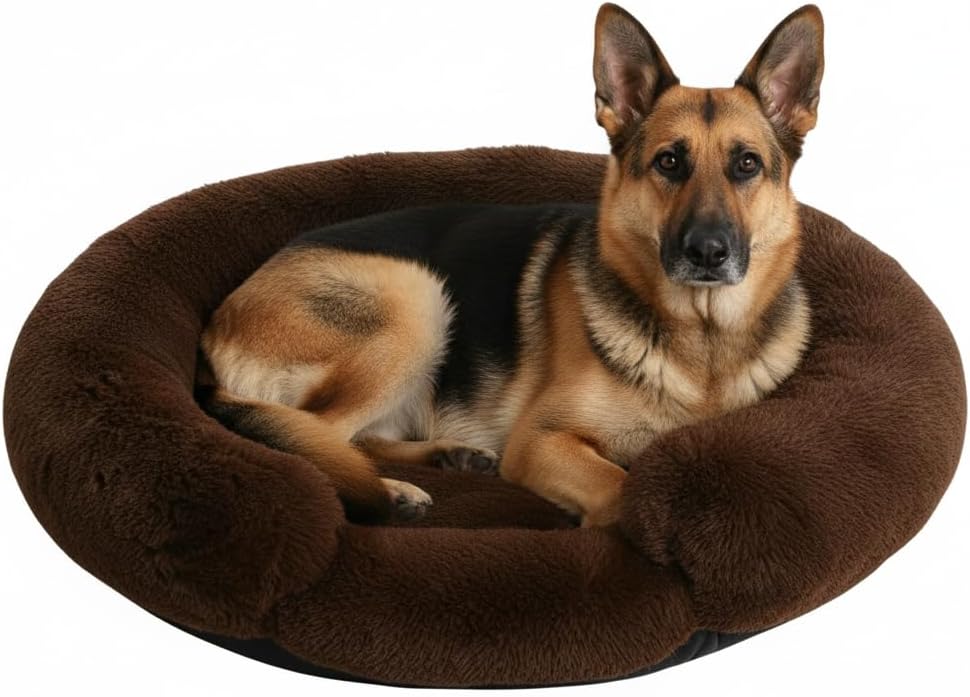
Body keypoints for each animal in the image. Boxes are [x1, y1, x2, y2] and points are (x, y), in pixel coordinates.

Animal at [198, 3, 820, 526]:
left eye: (746, 165)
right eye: (669, 162)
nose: (708, 253)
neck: (701, 338)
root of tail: (217, 325)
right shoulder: (541, 441)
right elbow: (620, 487)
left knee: (349, 437)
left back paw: (448, 457)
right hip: (415, 300)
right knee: (311, 435)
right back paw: (391, 492)